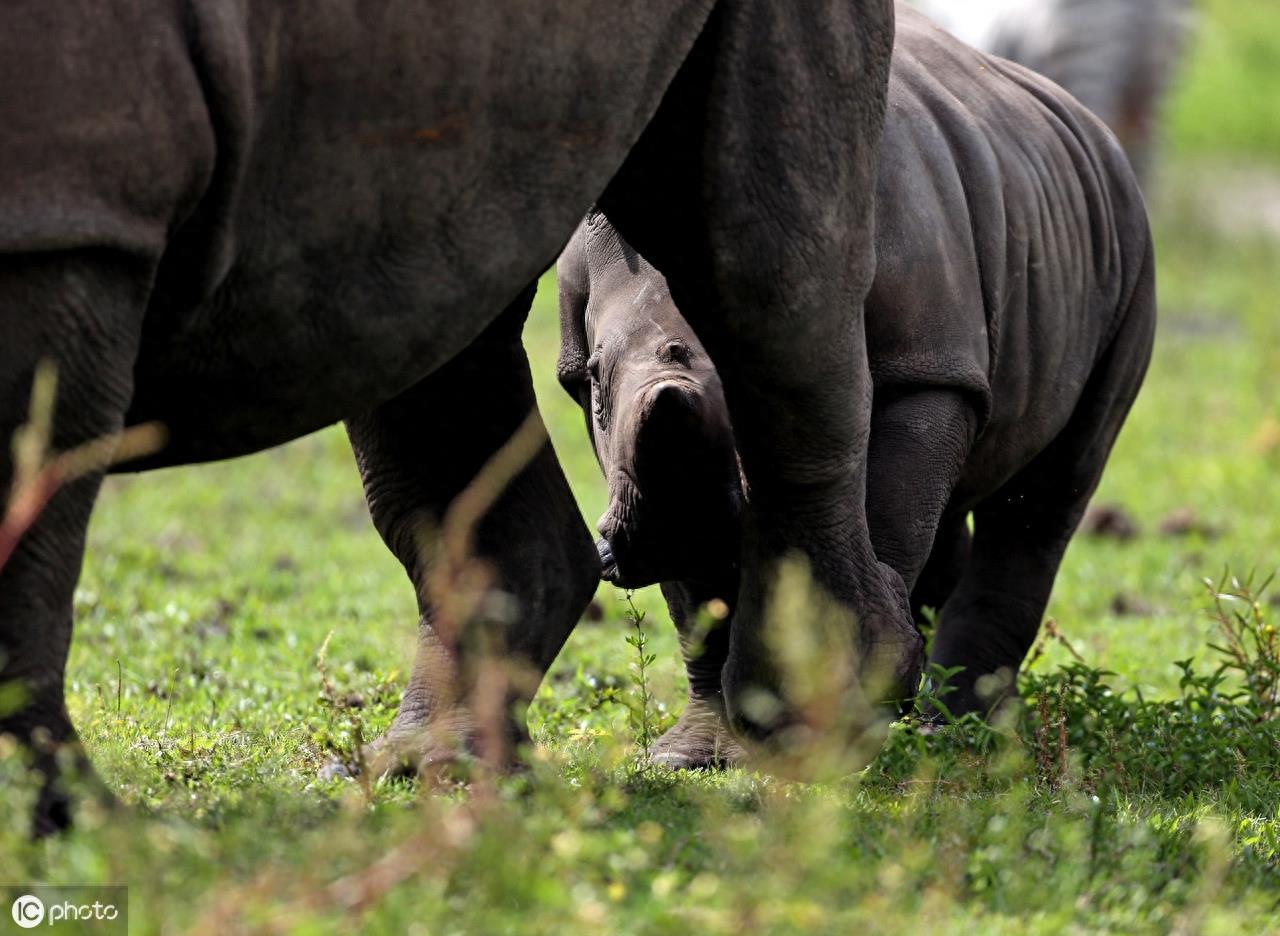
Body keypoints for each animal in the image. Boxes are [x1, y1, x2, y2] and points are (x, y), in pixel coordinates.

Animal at [565, 5, 1157, 768]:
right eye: (596, 384)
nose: (696, 526)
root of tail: (1089, 125)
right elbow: (694, 599)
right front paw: (690, 756)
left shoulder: (927, 366)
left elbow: (895, 510)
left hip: (1129, 249)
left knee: (1047, 497)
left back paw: (953, 734)